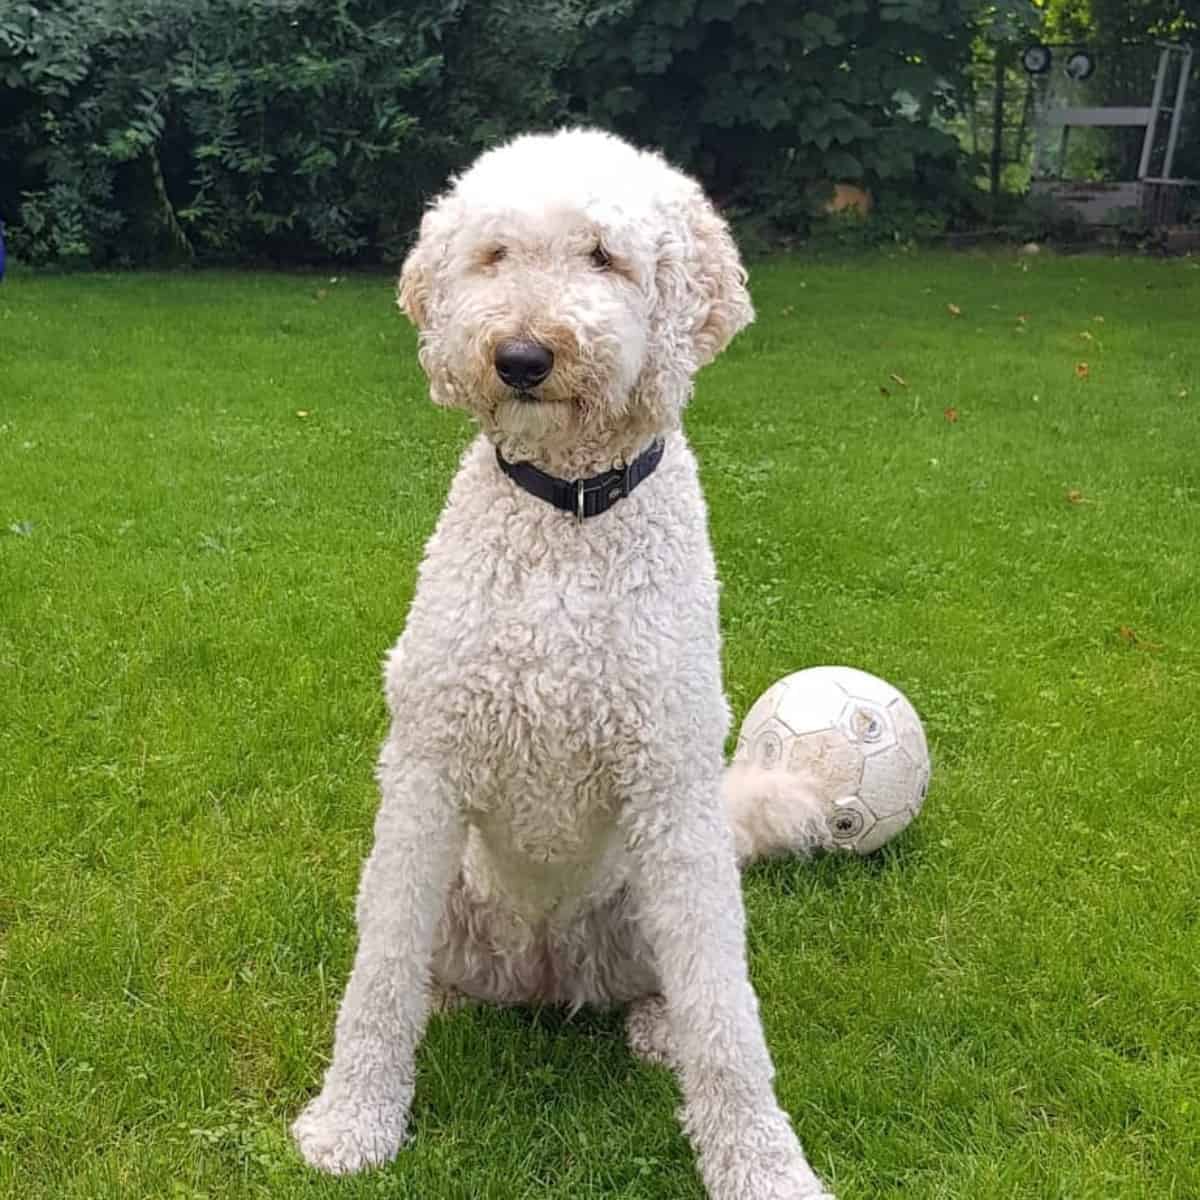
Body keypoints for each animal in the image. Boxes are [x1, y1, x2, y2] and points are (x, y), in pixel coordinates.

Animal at [290, 126, 835, 1195]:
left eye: (604, 257)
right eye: (495, 255)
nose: (522, 356)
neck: (566, 519)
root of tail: (543, 974)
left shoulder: (672, 784)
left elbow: (724, 1009)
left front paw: (762, 1164)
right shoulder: (425, 774)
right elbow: (377, 976)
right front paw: (353, 1121)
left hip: (652, 890)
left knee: (679, 986)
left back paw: (657, 1029)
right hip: (445, 886)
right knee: (411, 954)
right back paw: (443, 1003)